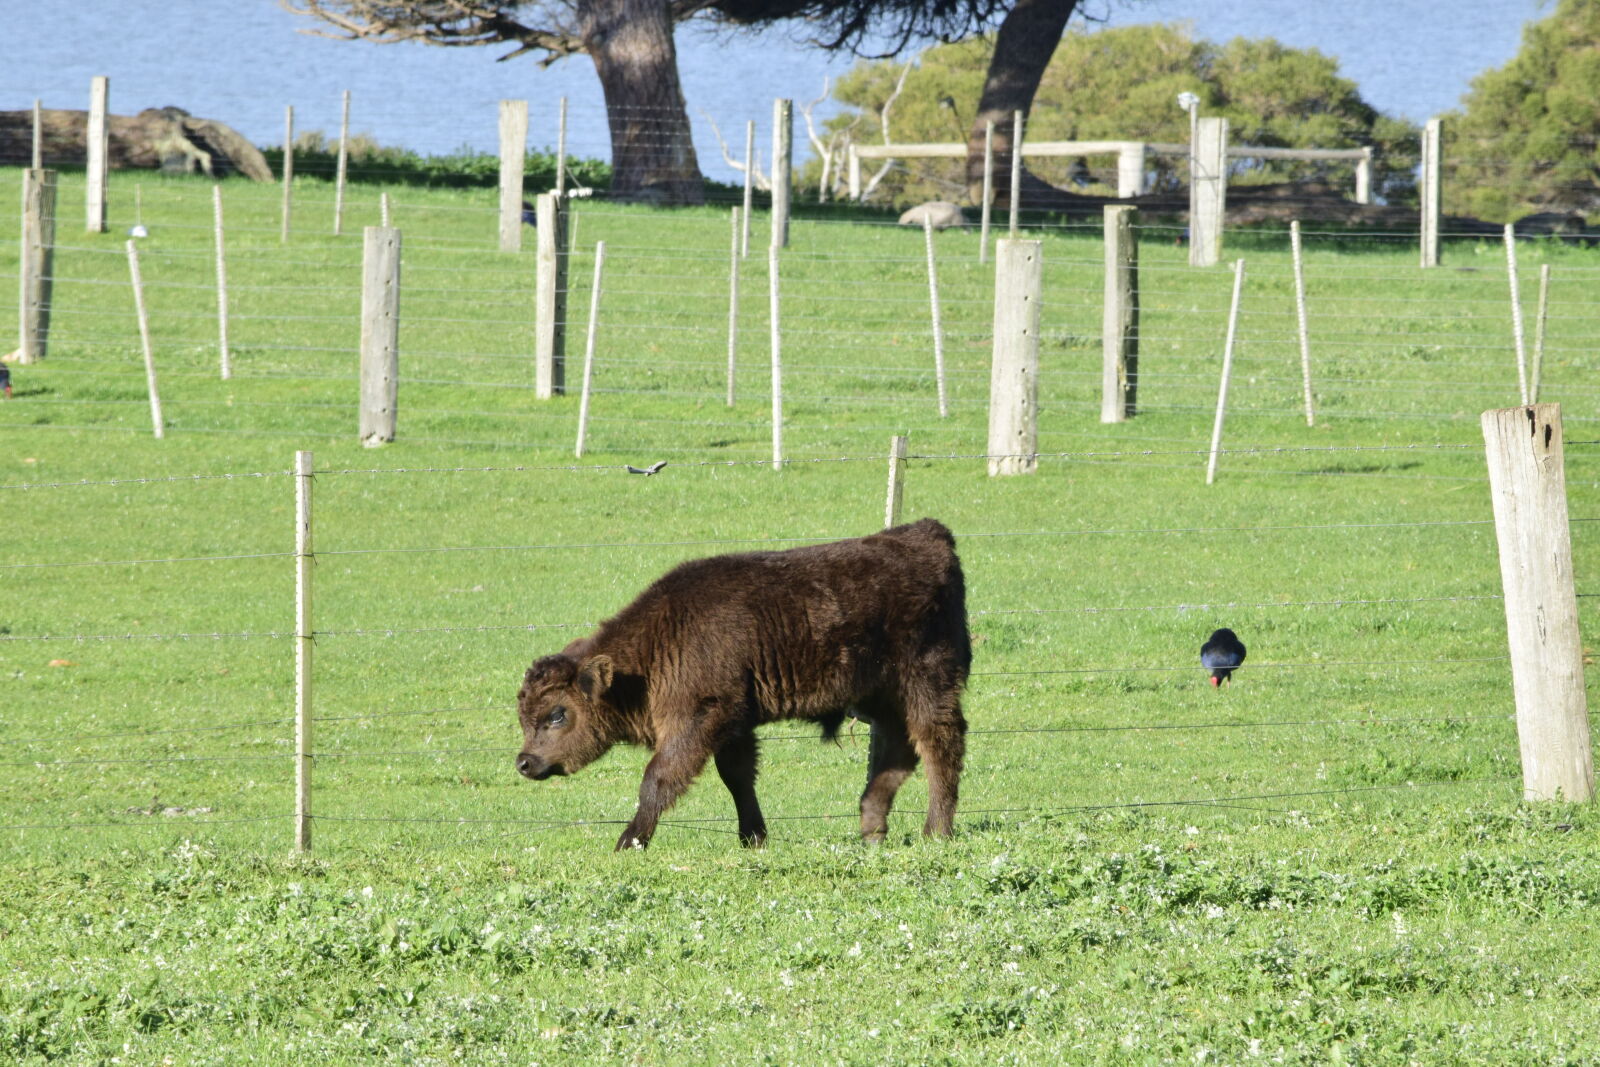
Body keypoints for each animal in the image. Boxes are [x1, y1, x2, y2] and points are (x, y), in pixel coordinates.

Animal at [514, 518, 971, 851]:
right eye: (524, 717)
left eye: (558, 714)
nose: (524, 762)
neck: (655, 646)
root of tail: (928, 535)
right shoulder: (734, 724)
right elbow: (737, 777)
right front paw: (753, 837)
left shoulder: (699, 717)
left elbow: (658, 777)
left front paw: (629, 841)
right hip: (881, 697)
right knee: (899, 751)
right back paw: (872, 829)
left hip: (926, 682)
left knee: (938, 744)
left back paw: (936, 831)